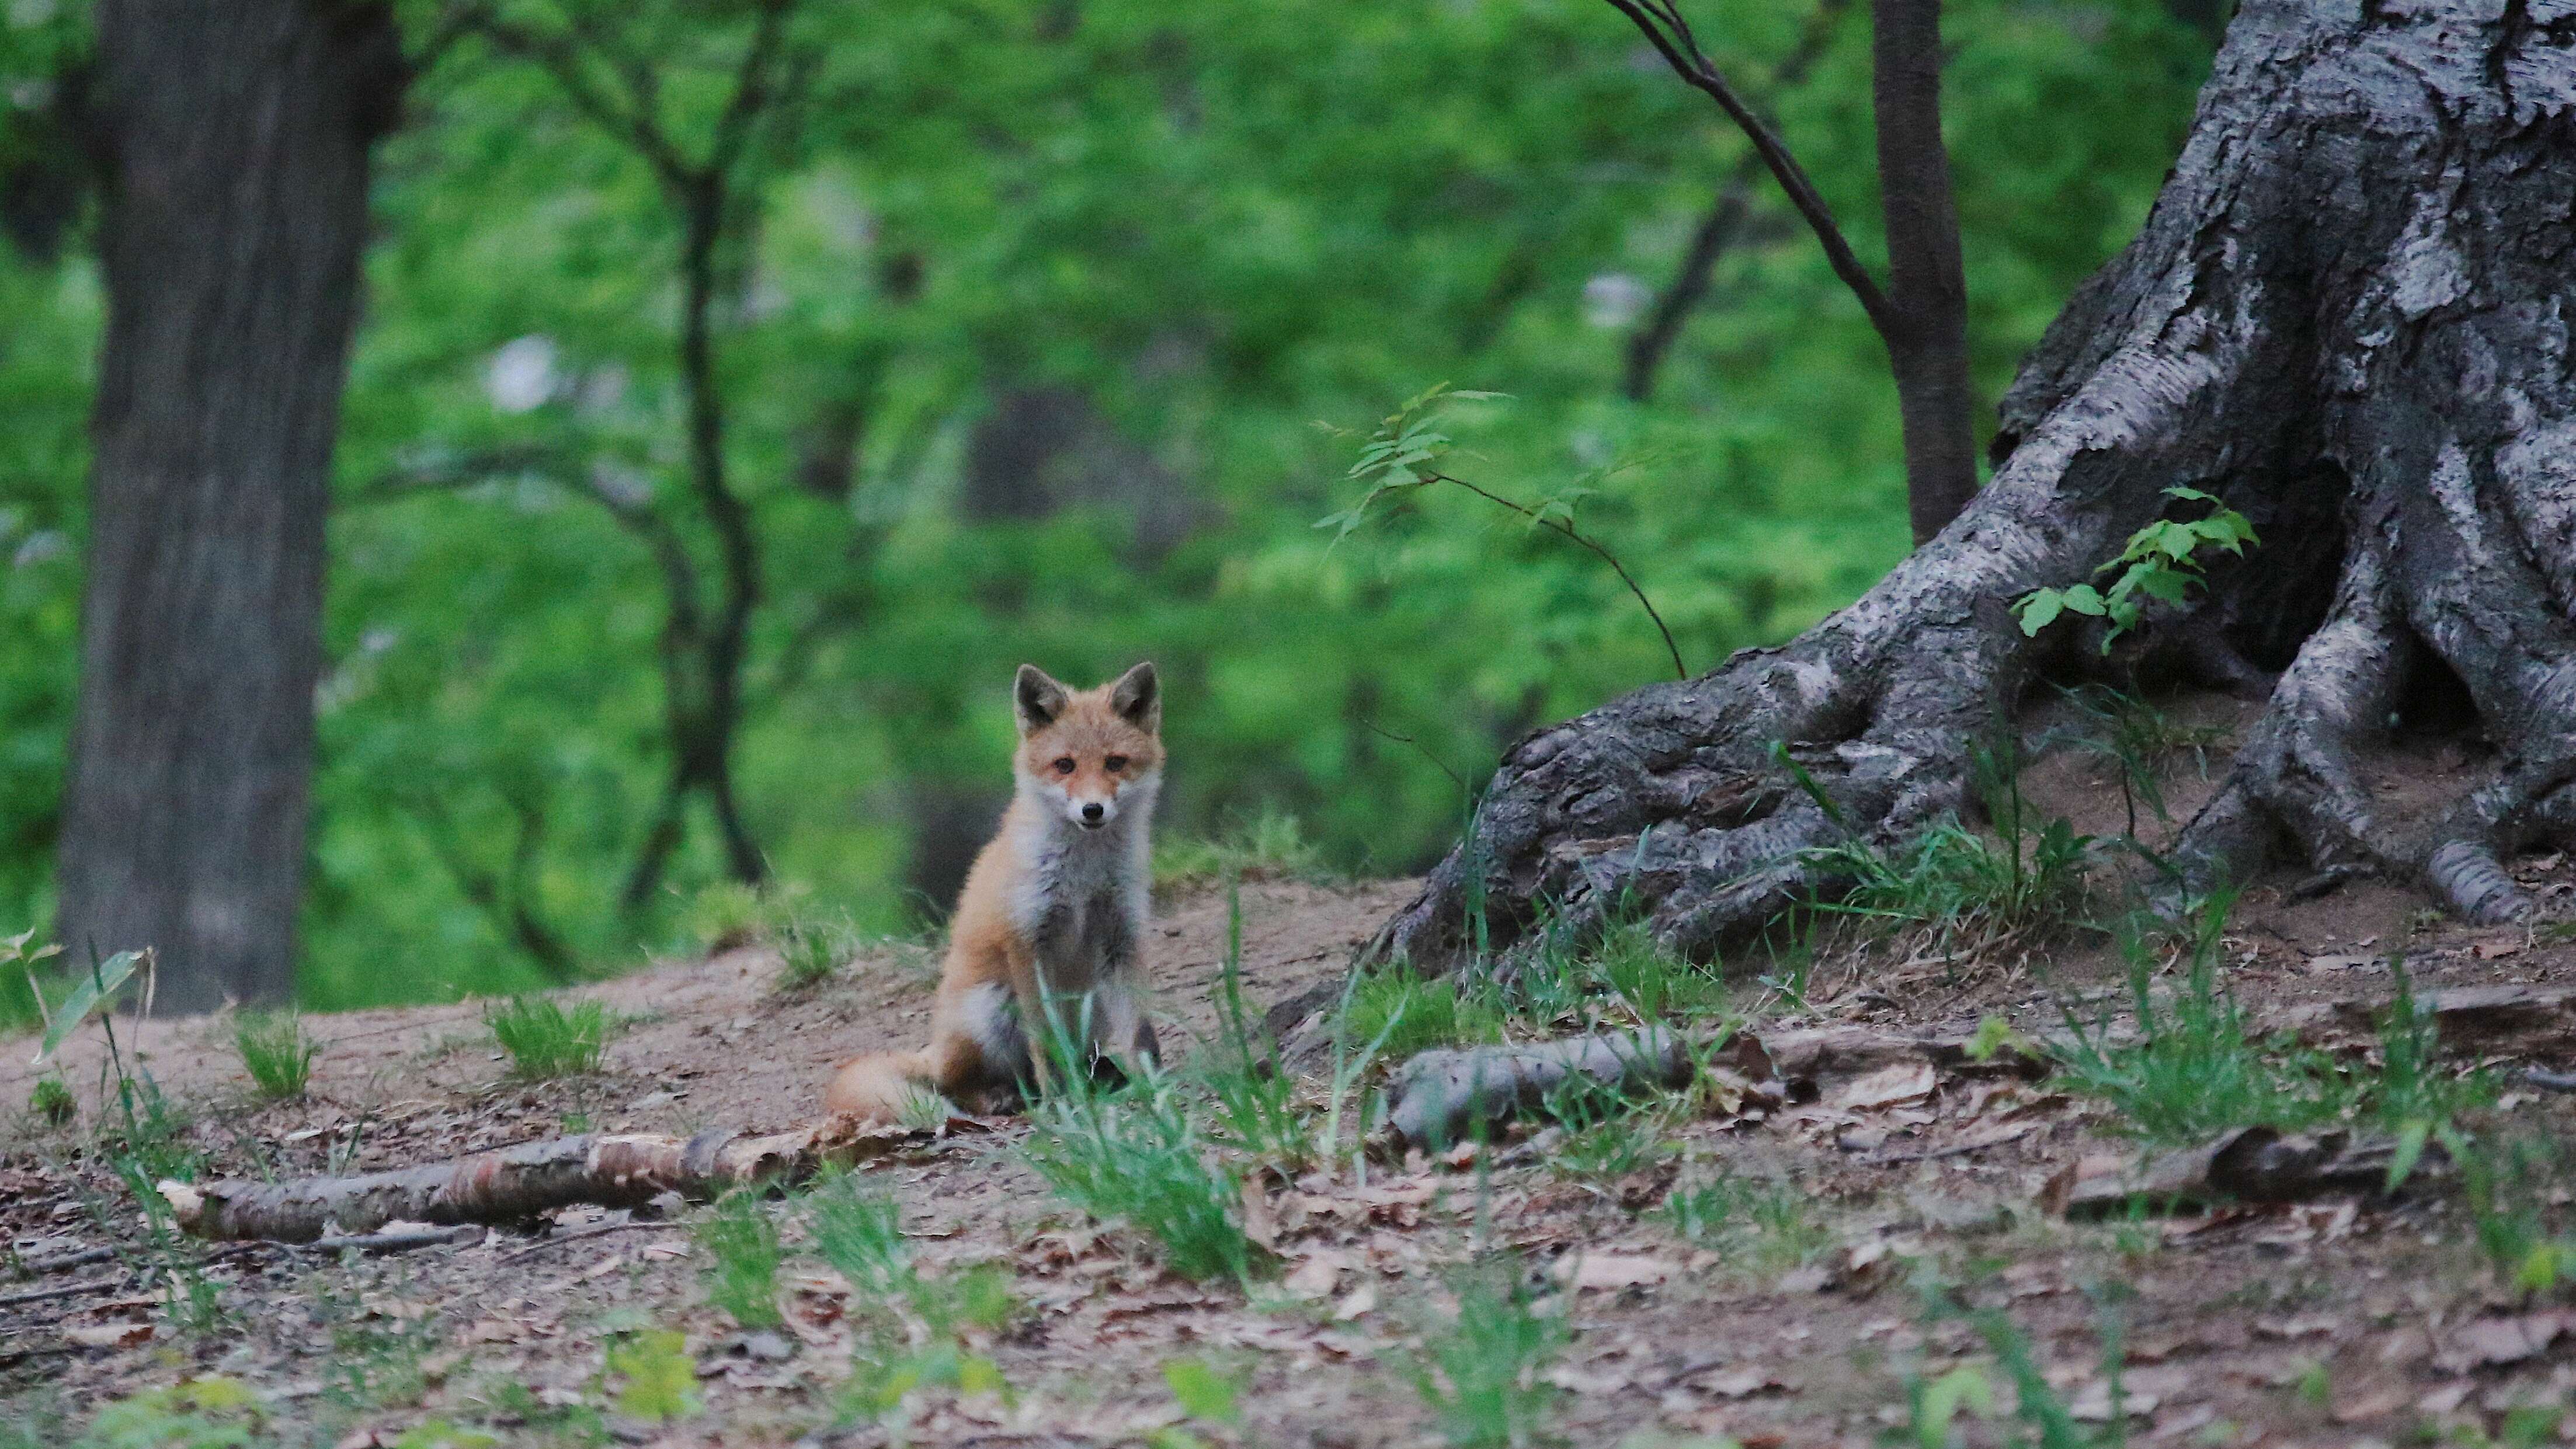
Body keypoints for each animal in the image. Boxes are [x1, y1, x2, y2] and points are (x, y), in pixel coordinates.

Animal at [824, 659, 1169, 1122]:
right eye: (1065, 765)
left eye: (1115, 763)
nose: (1092, 810)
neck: (1084, 875)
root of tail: (936, 1048)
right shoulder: (1028, 941)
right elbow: (1046, 1043)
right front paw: (1064, 1104)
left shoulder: (1122, 937)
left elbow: (1141, 1033)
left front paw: (1156, 1087)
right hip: (990, 1009)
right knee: (956, 1083)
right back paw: (1003, 1097)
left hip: (1090, 1003)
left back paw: (1099, 1077)